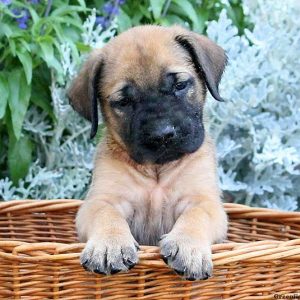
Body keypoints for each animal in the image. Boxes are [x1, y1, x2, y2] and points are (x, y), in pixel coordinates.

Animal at [68, 24, 227, 280]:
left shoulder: (204, 201)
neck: (157, 171)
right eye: (124, 102)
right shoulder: (101, 200)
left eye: (180, 85)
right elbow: (106, 215)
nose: (162, 134)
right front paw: (109, 245)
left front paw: (188, 247)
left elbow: (196, 216)